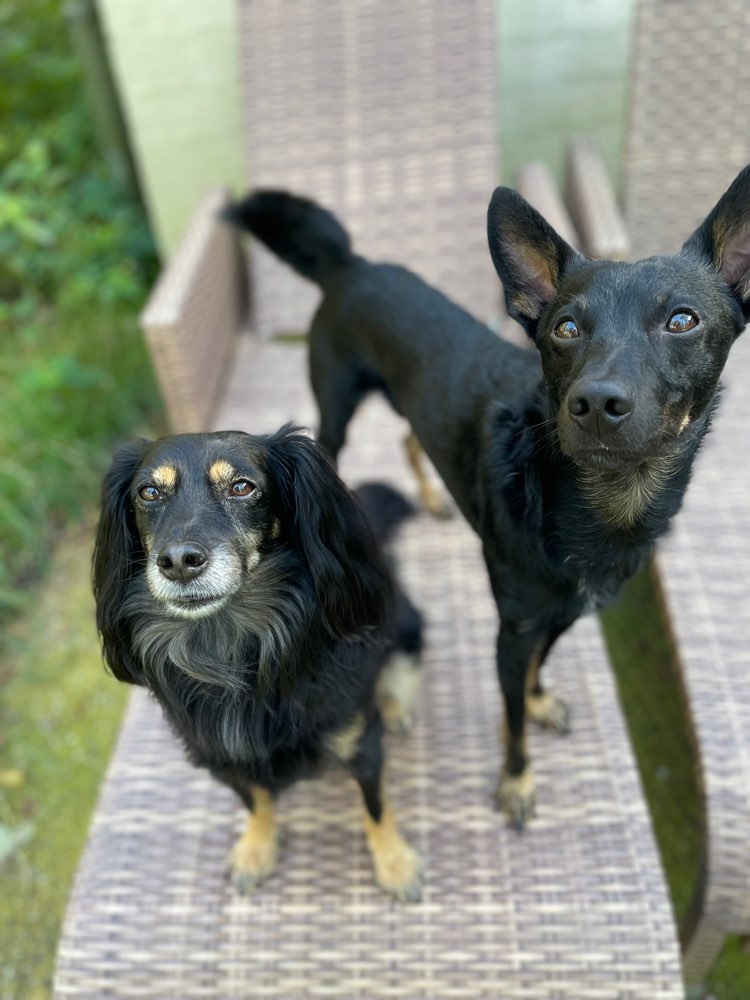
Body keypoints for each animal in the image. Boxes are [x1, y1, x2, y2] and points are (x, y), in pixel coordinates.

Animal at [92, 422, 424, 900]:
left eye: (242, 487)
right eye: (149, 492)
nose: (178, 562)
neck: (233, 654)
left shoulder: (362, 743)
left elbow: (376, 807)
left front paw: (396, 864)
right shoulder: (223, 755)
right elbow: (257, 801)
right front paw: (256, 849)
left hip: (402, 622)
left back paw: (396, 706)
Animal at [226, 168, 750, 828]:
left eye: (682, 321)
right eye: (565, 328)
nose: (595, 403)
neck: (603, 507)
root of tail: (352, 263)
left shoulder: (559, 617)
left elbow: (534, 677)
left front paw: (539, 700)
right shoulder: (514, 628)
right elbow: (514, 715)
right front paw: (517, 779)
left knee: (408, 435)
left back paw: (432, 496)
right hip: (336, 409)